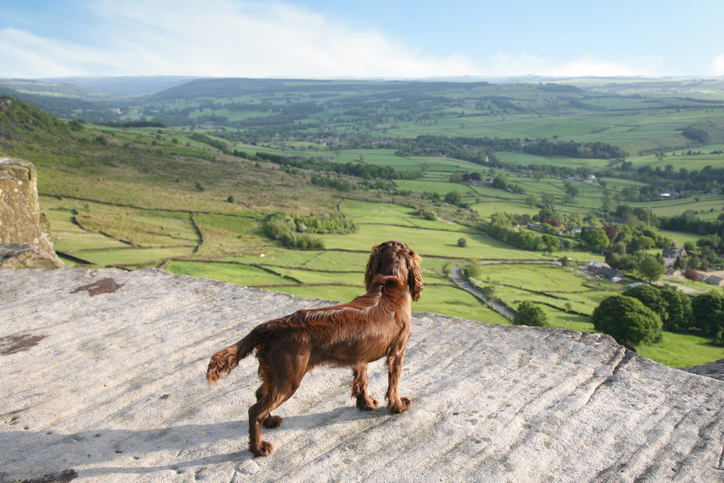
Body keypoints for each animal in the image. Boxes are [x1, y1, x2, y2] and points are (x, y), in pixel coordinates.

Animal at [204, 242, 422, 458]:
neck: (390, 280)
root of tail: (269, 326)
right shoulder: (397, 351)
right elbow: (393, 383)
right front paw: (398, 405)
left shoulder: (360, 356)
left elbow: (362, 381)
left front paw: (365, 403)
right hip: (288, 379)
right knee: (255, 411)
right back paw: (259, 447)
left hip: (274, 374)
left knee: (260, 395)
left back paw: (271, 421)